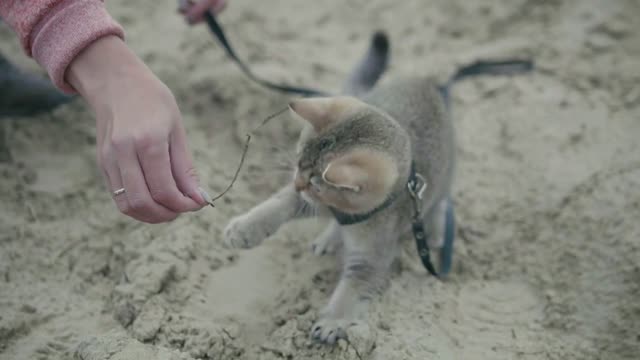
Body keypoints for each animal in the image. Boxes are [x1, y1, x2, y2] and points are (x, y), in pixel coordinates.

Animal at [222, 32, 452, 344]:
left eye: (315, 184)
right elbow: (276, 205)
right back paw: (330, 238)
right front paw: (244, 229)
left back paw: (437, 229)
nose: (298, 183)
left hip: (447, 175)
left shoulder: (371, 254)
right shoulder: (306, 201)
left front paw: (333, 320)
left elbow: (353, 287)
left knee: (442, 200)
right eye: (298, 162)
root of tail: (429, 83)